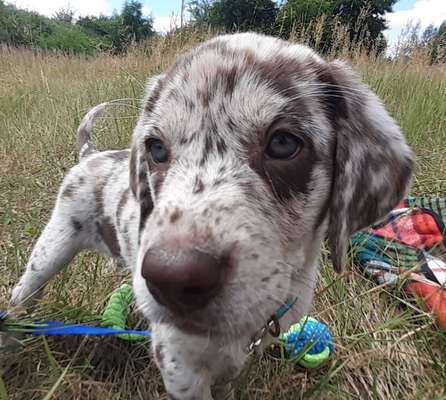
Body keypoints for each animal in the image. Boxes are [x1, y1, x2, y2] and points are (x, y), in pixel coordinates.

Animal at [11, 32, 414, 398]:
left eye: (283, 143)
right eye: (156, 149)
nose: (171, 280)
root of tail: (91, 155)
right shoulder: (180, 366)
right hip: (51, 250)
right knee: (22, 292)